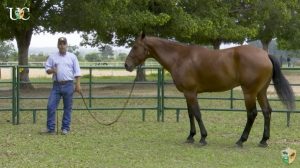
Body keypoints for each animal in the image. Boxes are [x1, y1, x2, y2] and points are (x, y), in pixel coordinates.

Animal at [124, 32, 296, 147]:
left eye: (135, 46)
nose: (126, 65)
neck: (180, 57)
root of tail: (265, 55)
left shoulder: (191, 92)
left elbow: (197, 114)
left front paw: (203, 138)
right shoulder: (188, 94)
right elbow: (190, 114)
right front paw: (191, 136)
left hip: (249, 92)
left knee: (252, 114)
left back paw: (241, 140)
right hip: (261, 92)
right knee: (267, 112)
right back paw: (263, 140)